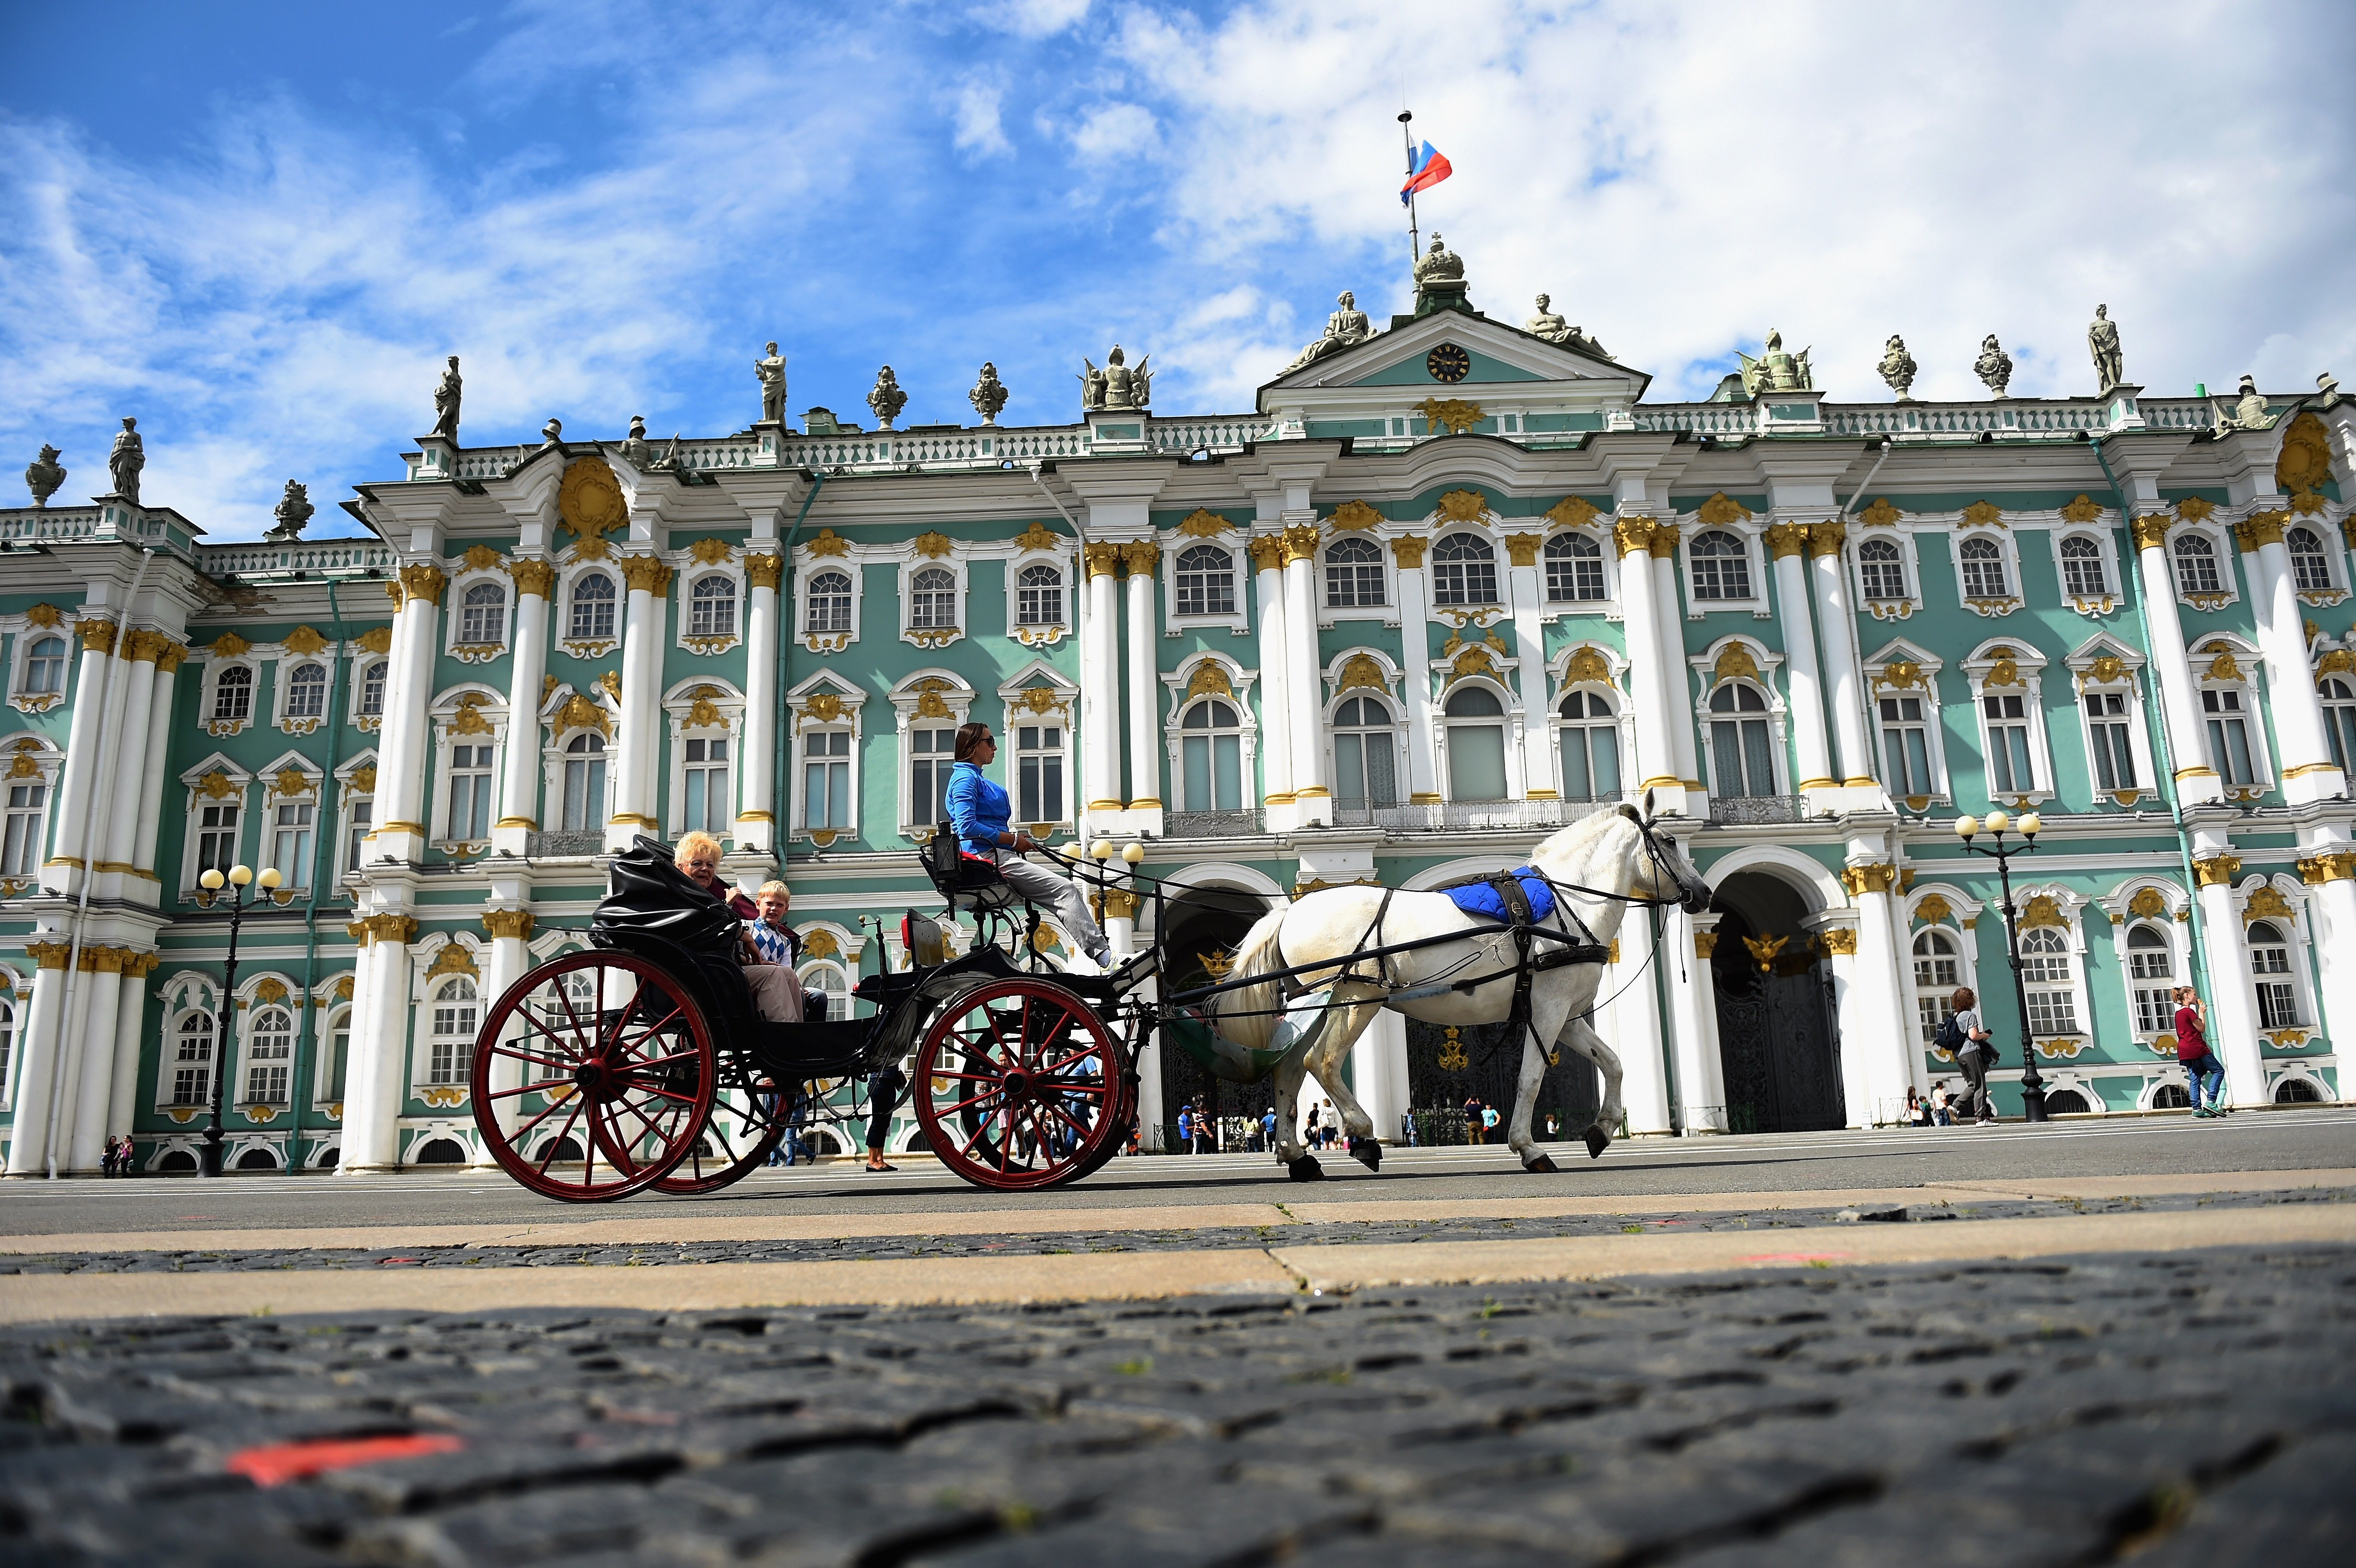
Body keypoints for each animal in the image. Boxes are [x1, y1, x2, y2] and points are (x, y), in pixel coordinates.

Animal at [1206, 805, 1705, 1172]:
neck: (1569, 904)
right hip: (1355, 1000)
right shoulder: (1547, 1009)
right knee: (1320, 1061)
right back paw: (1364, 1137)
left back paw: (1297, 1156)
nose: (1702, 895)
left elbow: (1614, 1063)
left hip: (1313, 1004)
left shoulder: (1565, 1016)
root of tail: (1289, 911)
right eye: (1669, 842)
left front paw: (1601, 1131)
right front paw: (1529, 1149)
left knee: (1289, 1068)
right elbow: (1531, 1078)